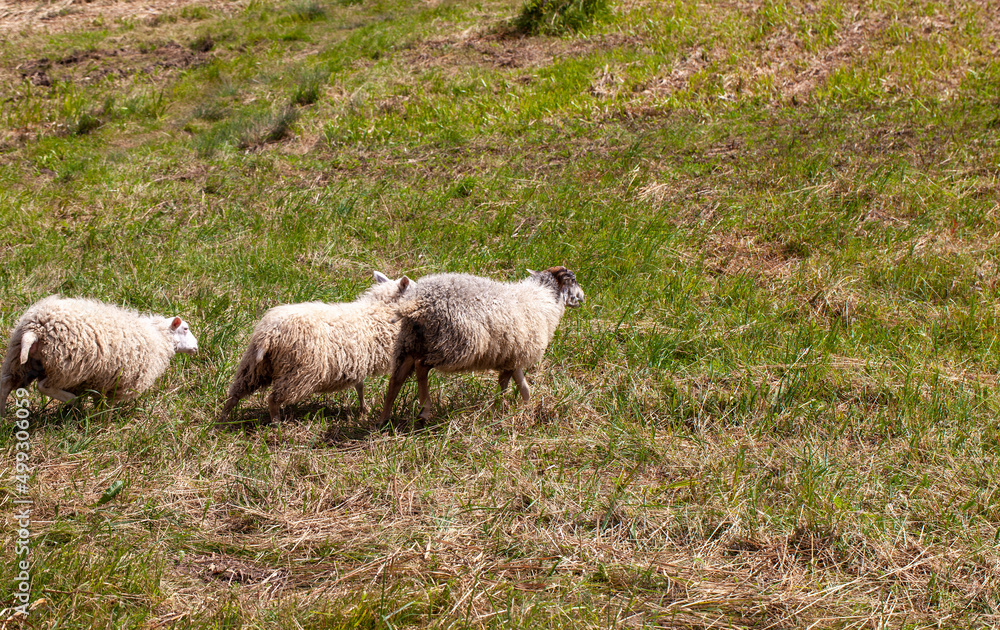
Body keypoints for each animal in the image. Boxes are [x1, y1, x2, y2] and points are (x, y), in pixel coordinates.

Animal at [0, 296, 199, 420]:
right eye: (186, 328)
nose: (196, 347)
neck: (158, 337)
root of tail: (36, 329)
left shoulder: (103, 381)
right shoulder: (119, 384)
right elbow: (106, 408)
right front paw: (102, 422)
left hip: (19, 361)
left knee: (6, 383)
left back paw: (1, 416)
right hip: (66, 366)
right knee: (43, 386)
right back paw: (72, 400)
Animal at [219, 271, 414, 424]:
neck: (381, 308)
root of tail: (270, 333)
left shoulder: (357, 360)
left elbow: (359, 387)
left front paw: (363, 410)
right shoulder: (360, 360)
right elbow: (360, 387)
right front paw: (364, 411)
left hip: (254, 366)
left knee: (235, 394)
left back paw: (221, 421)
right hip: (299, 371)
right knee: (273, 399)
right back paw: (276, 424)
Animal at [378, 266, 584, 426]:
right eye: (573, 280)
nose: (583, 297)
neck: (543, 297)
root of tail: (418, 302)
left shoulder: (512, 355)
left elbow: (518, 385)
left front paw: (520, 407)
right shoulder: (517, 353)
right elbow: (511, 385)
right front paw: (505, 408)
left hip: (409, 343)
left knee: (396, 379)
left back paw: (384, 420)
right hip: (450, 344)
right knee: (421, 367)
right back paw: (424, 410)